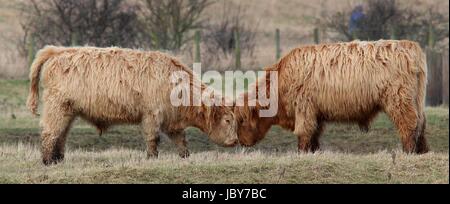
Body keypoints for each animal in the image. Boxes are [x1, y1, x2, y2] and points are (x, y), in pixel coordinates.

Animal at [27, 45, 239, 165]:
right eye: (228, 120)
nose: (235, 140)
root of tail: (58, 51)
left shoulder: (171, 121)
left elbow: (181, 140)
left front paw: (186, 157)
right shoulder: (152, 114)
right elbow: (153, 139)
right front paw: (152, 158)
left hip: (68, 111)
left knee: (61, 134)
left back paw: (58, 159)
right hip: (57, 106)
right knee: (50, 132)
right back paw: (47, 161)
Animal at [236, 39, 428, 154]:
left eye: (242, 120)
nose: (242, 142)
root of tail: (409, 46)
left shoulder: (304, 108)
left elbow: (304, 133)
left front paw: (302, 153)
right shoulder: (315, 113)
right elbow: (314, 134)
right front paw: (313, 152)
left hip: (399, 99)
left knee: (409, 124)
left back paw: (408, 152)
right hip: (416, 100)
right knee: (421, 123)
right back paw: (421, 151)